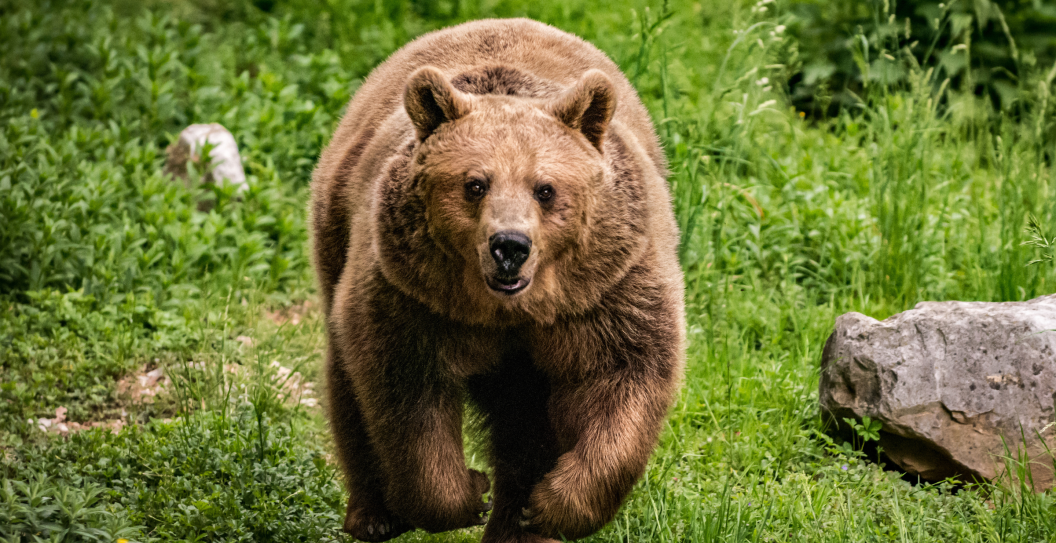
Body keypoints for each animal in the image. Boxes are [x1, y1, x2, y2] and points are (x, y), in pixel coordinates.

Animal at [310, 18, 685, 543]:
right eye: (475, 184)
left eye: (545, 189)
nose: (510, 246)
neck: (508, 312)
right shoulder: (413, 296)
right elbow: (405, 394)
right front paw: (469, 493)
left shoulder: (606, 290)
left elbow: (625, 374)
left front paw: (549, 505)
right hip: (338, 230)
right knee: (347, 386)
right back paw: (375, 515)